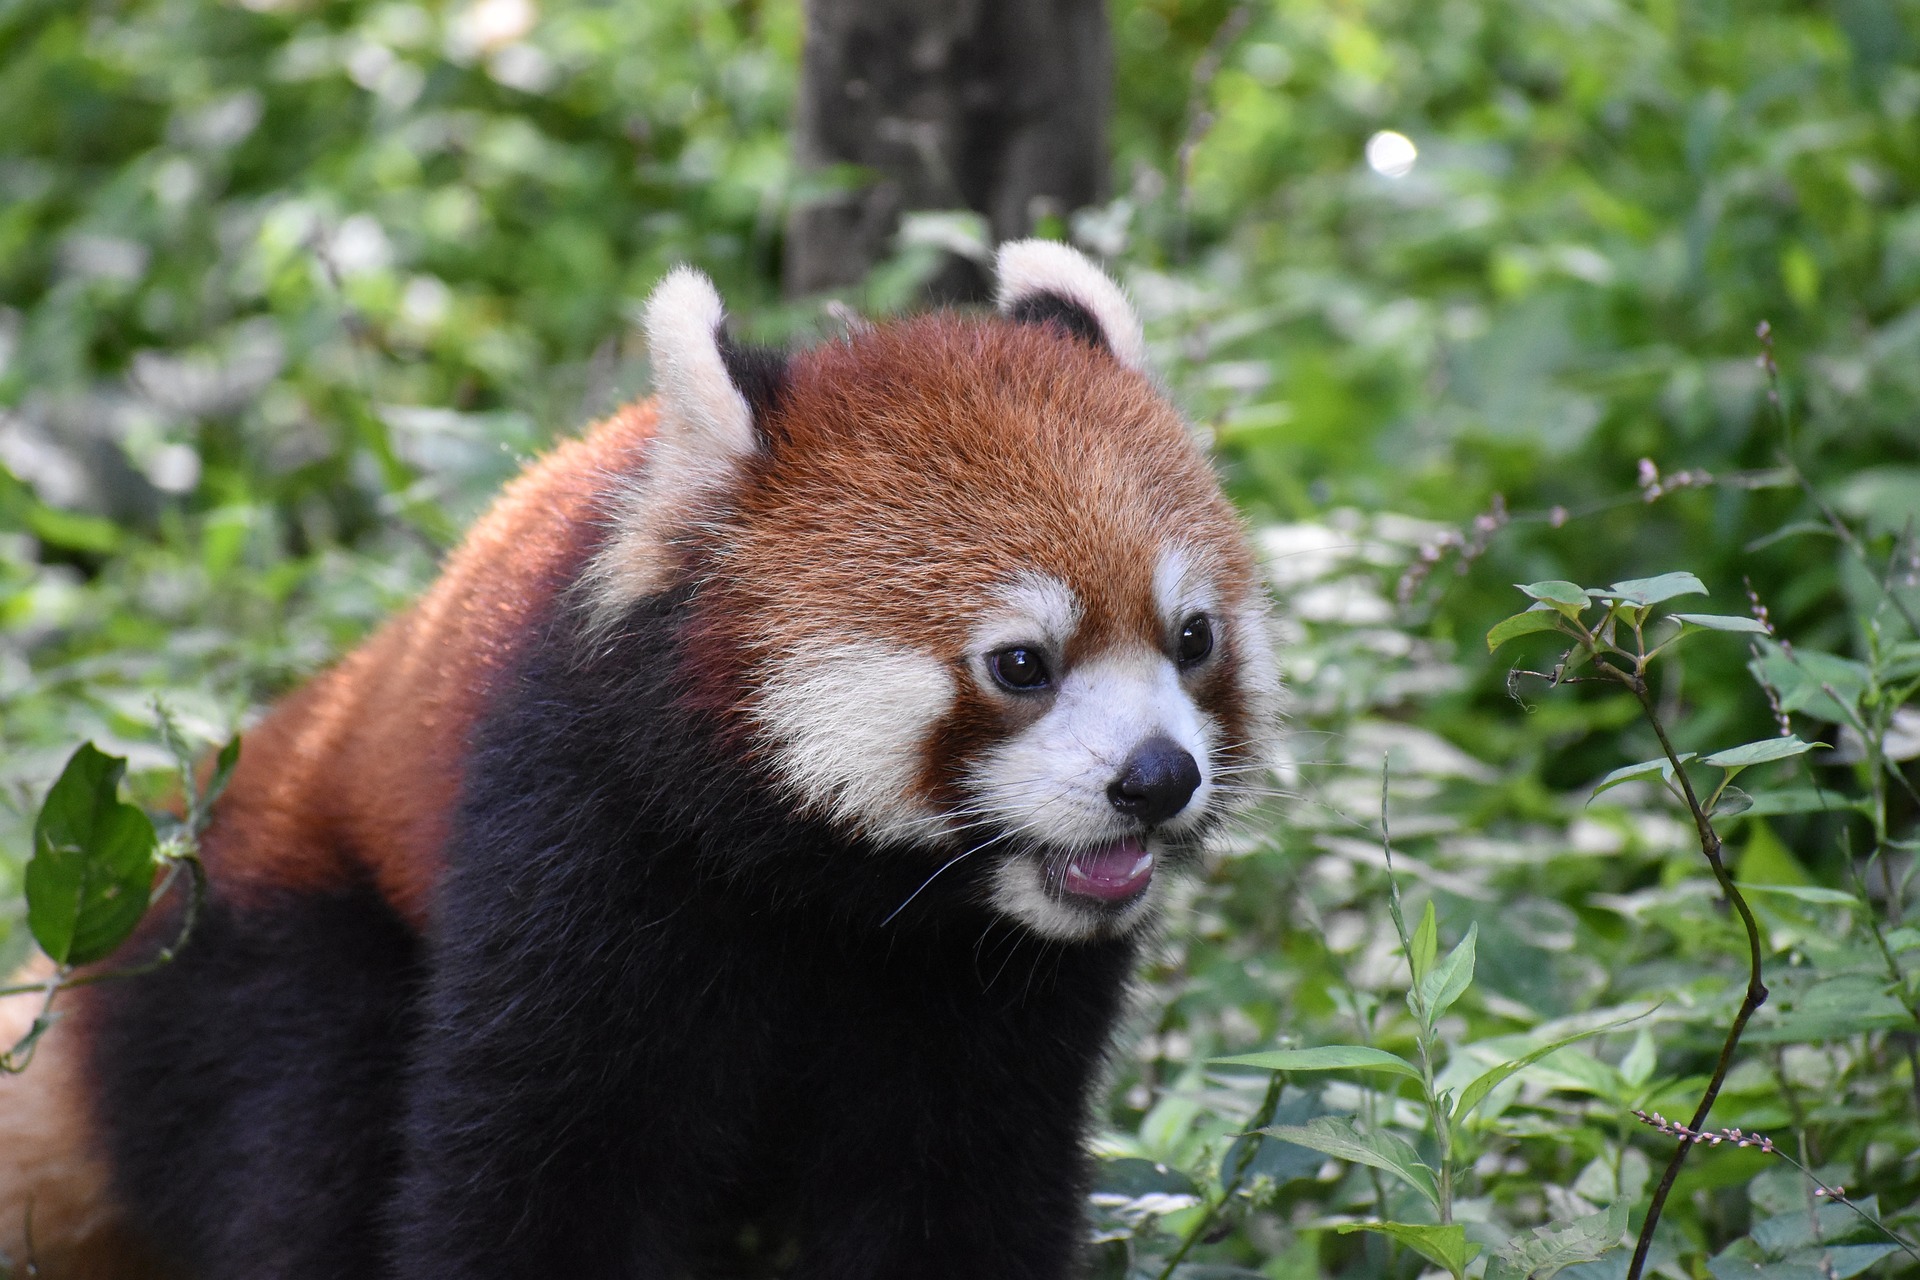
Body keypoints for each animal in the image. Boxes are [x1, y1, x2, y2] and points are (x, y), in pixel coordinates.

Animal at [0, 241, 1281, 1279]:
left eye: (1192, 638)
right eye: (1021, 662)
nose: (1158, 778)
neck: (839, 893)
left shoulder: (989, 997)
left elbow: (958, 1190)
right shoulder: (578, 830)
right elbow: (540, 1171)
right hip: (275, 963)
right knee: (303, 1168)